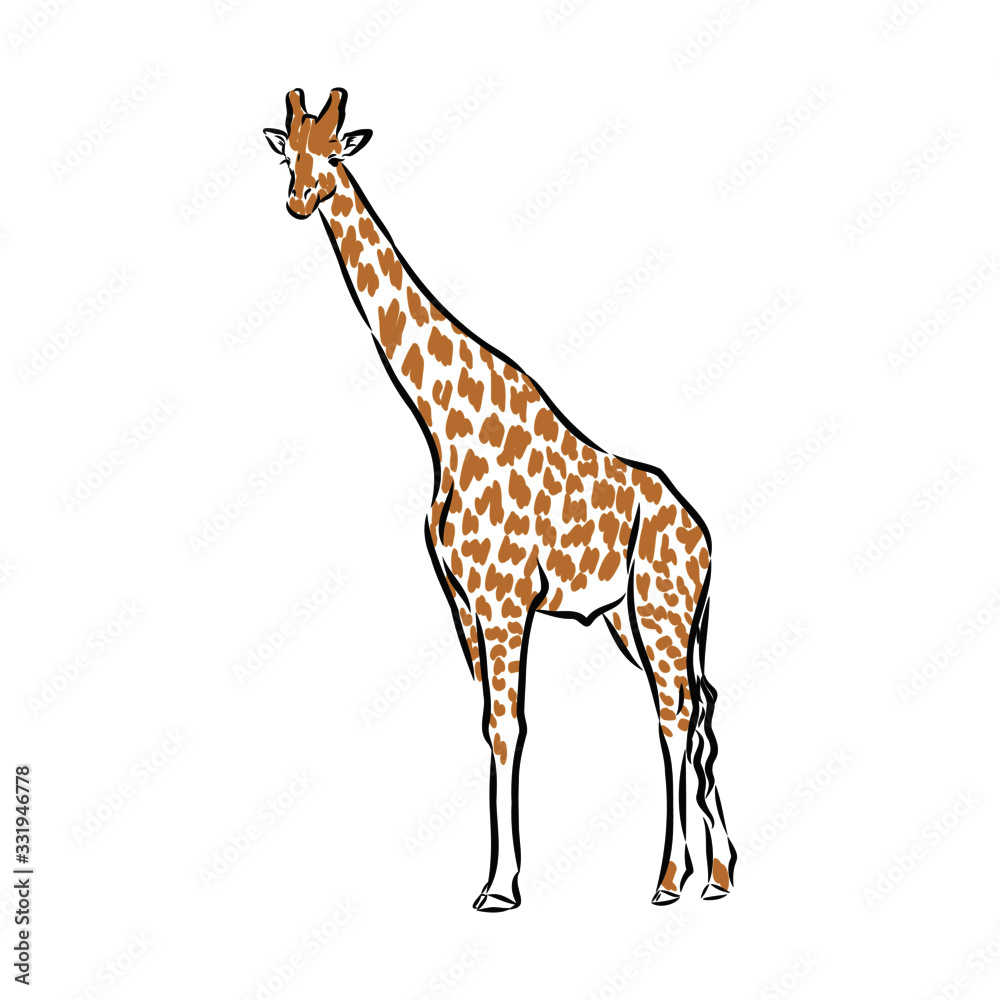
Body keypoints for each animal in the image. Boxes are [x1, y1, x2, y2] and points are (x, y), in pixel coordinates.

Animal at [264, 87, 736, 911]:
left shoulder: (505, 597)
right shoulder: (461, 601)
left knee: (677, 716)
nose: (297, 199)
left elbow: (511, 726)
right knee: (692, 710)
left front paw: (502, 887)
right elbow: (487, 725)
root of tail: (703, 532)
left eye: (333, 153)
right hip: (635, 618)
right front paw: (498, 876)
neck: (442, 424)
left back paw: (669, 879)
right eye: (288, 152)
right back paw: (714, 874)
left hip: (663, 608)